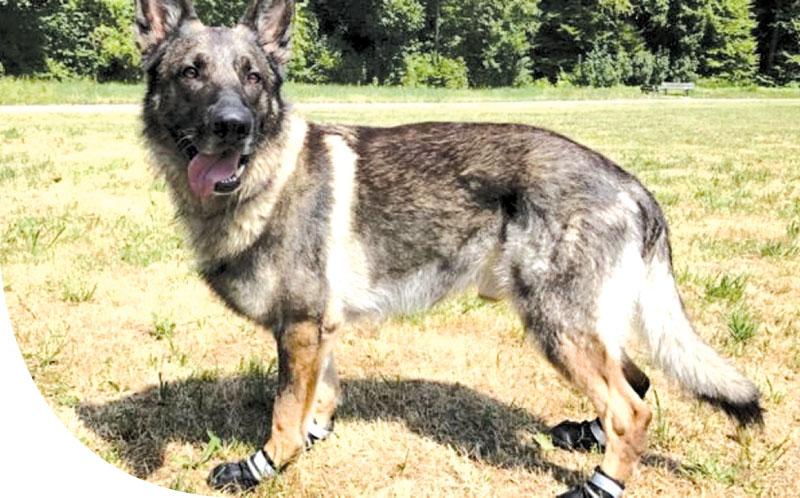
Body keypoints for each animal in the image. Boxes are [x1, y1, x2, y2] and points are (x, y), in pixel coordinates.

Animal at [134, 1, 764, 496]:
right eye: (191, 73)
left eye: (253, 78)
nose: (232, 125)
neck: (269, 176)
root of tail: (632, 185)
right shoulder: (318, 330)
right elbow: (319, 402)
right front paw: (312, 441)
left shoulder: (301, 329)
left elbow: (286, 416)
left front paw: (261, 467)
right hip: (578, 326)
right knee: (636, 380)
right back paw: (587, 436)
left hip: (557, 325)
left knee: (632, 409)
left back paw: (600, 484)